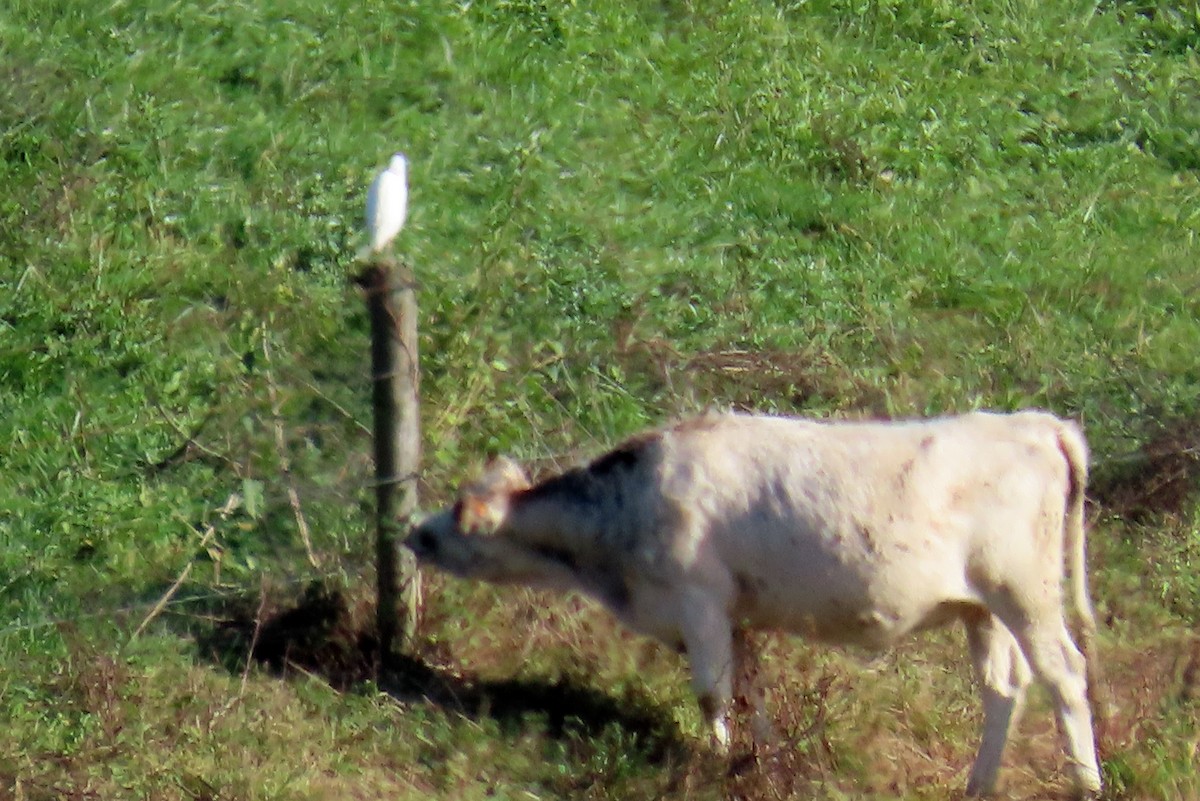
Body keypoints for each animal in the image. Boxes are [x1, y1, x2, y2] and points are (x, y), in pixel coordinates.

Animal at [404, 410, 1103, 797]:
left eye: (449, 527)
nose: (412, 532)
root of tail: (1034, 422)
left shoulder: (699, 604)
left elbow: (711, 695)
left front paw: (714, 765)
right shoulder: (736, 618)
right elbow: (750, 694)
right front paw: (759, 762)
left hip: (1027, 594)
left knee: (1066, 676)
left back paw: (1085, 784)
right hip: (985, 610)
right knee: (1004, 689)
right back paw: (978, 786)